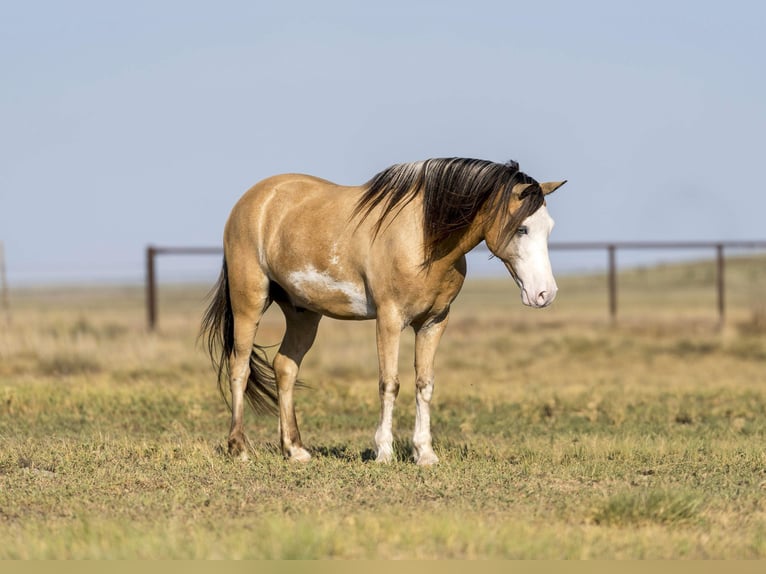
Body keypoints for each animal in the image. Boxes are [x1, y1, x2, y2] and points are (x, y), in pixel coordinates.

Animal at [201, 158, 568, 468]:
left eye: (549, 228)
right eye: (521, 229)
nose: (545, 293)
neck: (423, 237)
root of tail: (253, 200)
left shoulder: (433, 323)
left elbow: (424, 384)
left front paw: (425, 454)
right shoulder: (389, 320)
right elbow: (389, 383)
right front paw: (384, 452)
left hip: (303, 313)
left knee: (285, 368)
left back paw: (295, 449)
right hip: (249, 301)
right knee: (239, 367)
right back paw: (239, 448)